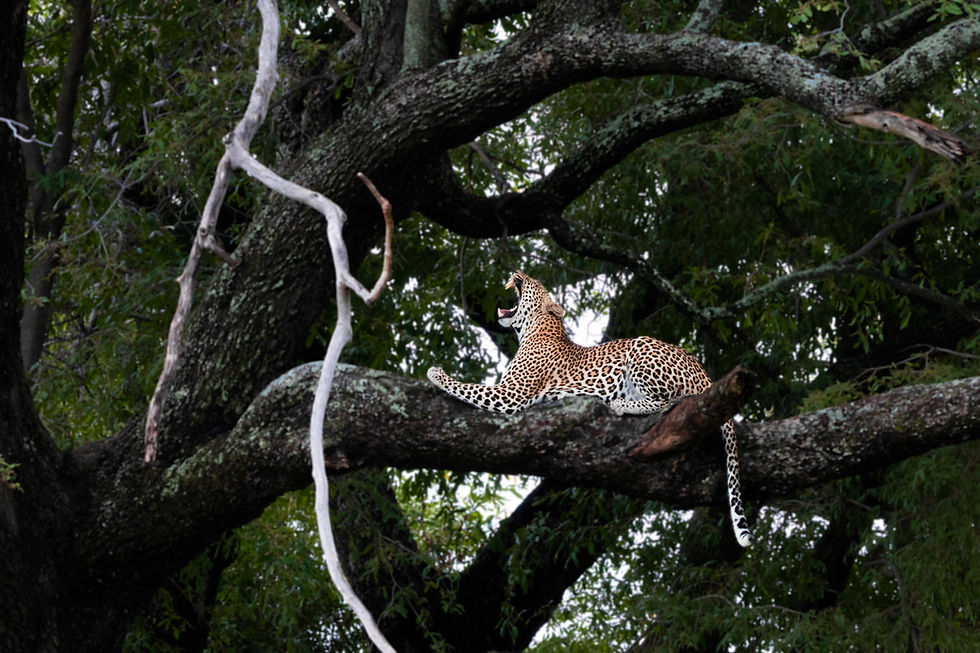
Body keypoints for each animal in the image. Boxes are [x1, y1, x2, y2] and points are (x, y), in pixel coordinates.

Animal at [427, 270, 752, 547]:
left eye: (532, 281)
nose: (517, 272)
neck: (534, 328)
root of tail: (705, 372)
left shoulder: (512, 394)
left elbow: (470, 387)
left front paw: (436, 373)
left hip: (642, 347)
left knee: (669, 401)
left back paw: (620, 403)